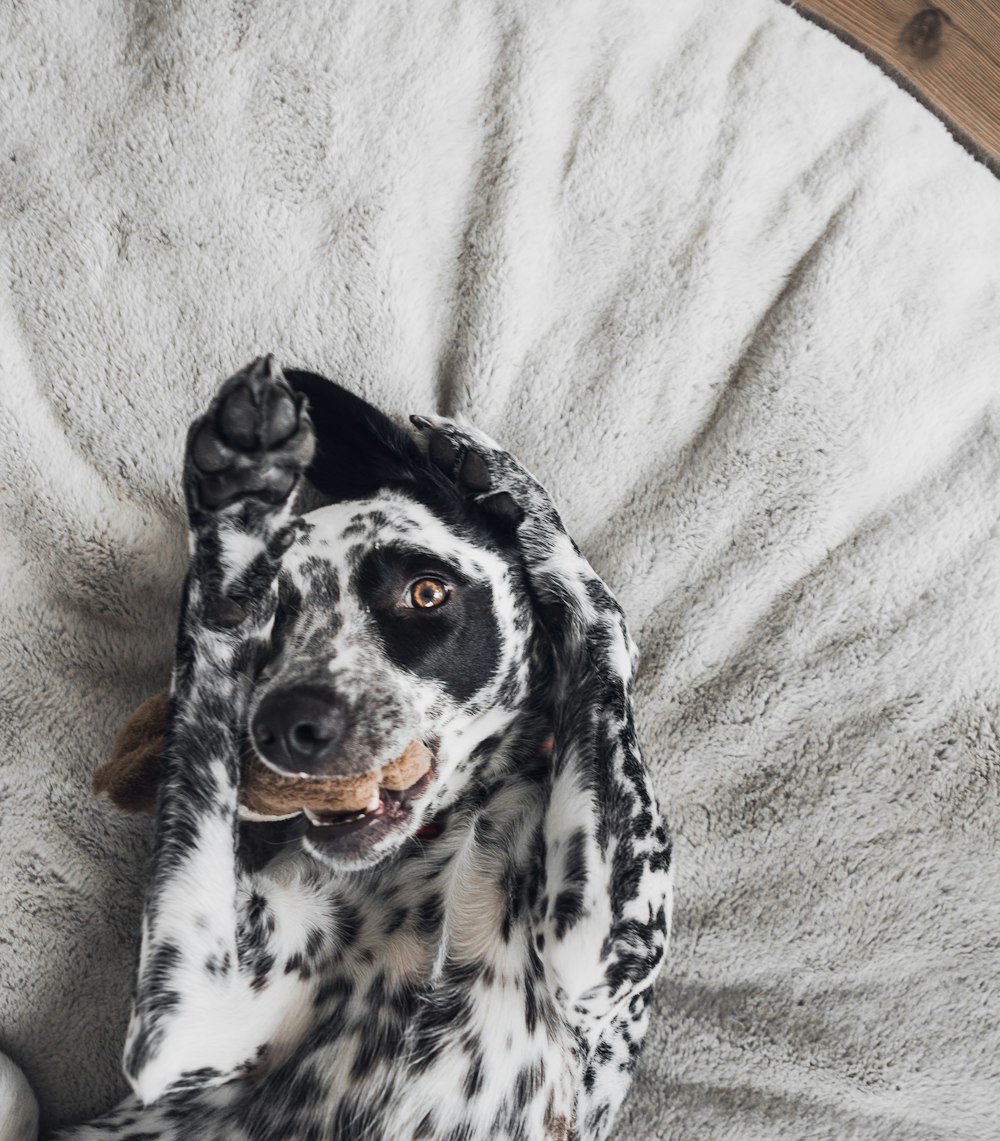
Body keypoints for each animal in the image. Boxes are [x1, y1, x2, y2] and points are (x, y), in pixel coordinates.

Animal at [5, 358, 671, 1141]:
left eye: (426, 591)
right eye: (271, 625)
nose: (289, 725)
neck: (439, 847)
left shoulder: (601, 949)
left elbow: (602, 621)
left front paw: (510, 484)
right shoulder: (187, 1017)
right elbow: (206, 654)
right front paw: (237, 507)